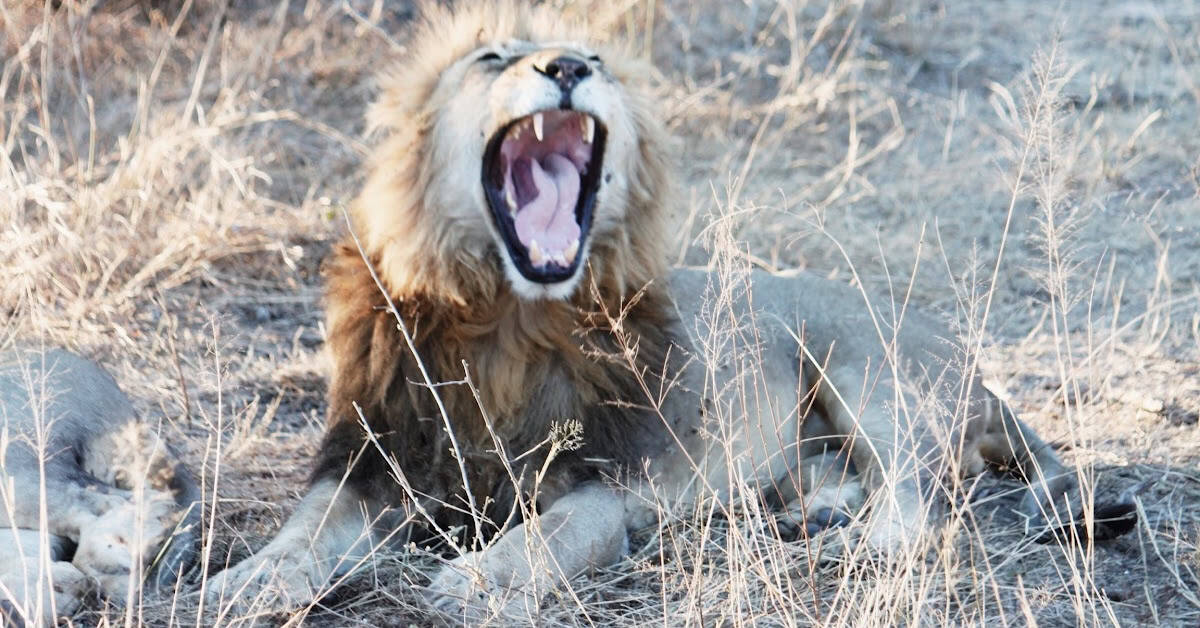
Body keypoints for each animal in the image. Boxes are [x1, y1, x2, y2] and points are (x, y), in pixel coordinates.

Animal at [207, 1, 1134, 621]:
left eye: (594, 57)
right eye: (491, 57)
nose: (567, 69)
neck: (505, 317)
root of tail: (977, 366)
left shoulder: (605, 485)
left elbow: (545, 540)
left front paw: (483, 581)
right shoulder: (369, 460)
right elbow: (304, 527)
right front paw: (248, 579)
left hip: (868, 368)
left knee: (925, 507)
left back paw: (839, 547)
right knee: (867, 482)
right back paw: (816, 514)